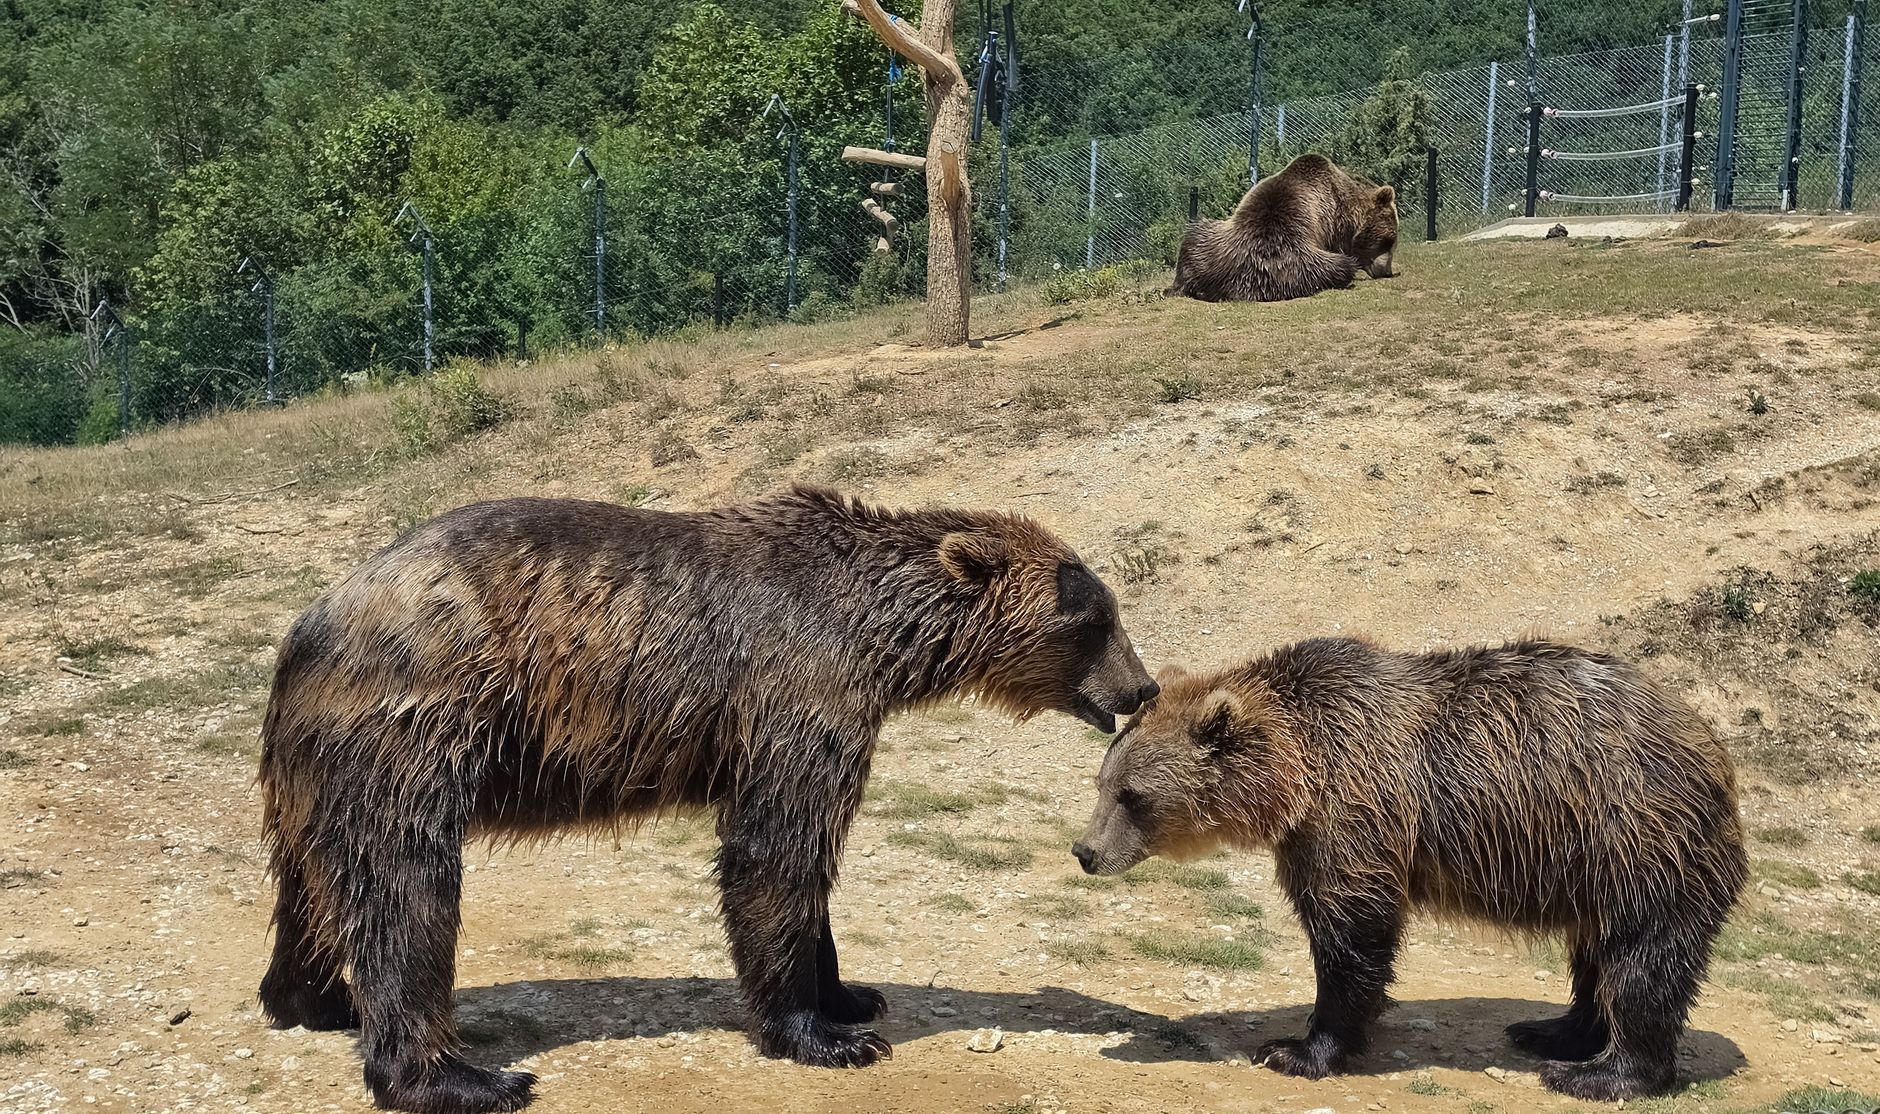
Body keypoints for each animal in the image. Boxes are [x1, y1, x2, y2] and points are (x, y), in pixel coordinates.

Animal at [258, 485, 1158, 1113]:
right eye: (1093, 619)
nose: (1143, 687)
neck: (879, 639)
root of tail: (311, 619)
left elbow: (805, 868)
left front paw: (850, 994)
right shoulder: (798, 691)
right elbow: (777, 851)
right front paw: (825, 1036)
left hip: (313, 762)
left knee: (309, 878)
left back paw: (315, 1000)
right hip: (420, 718)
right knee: (404, 888)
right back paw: (462, 1076)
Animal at [1072, 637, 1747, 1102]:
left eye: (1133, 796)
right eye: (1103, 784)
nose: (1086, 851)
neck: (1293, 776)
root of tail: (1710, 745)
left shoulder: (1356, 813)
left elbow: (1351, 937)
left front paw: (1296, 1049)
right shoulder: (1308, 833)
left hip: (1638, 839)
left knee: (1641, 959)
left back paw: (1600, 1074)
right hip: (1593, 867)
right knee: (1594, 951)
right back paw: (1553, 1030)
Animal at [1166, 154, 1399, 302]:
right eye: (1388, 241)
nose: (1387, 271)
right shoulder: (1335, 222)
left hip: (1209, 246)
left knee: (1192, 239)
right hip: (1297, 263)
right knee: (1339, 266)